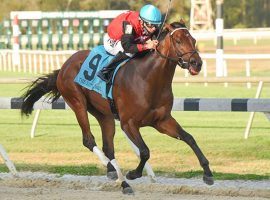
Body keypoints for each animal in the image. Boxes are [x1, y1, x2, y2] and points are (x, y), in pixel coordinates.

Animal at [20, 20, 213, 194]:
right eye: (179, 40)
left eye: (194, 40)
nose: (197, 63)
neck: (149, 78)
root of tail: (63, 66)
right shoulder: (129, 123)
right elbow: (144, 151)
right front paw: (134, 173)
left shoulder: (162, 121)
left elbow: (189, 138)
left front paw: (208, 173)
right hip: (77, 102)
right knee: (88, 140)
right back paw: (116, 174)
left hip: (103, 115)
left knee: (108, 148)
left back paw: (120, 181)